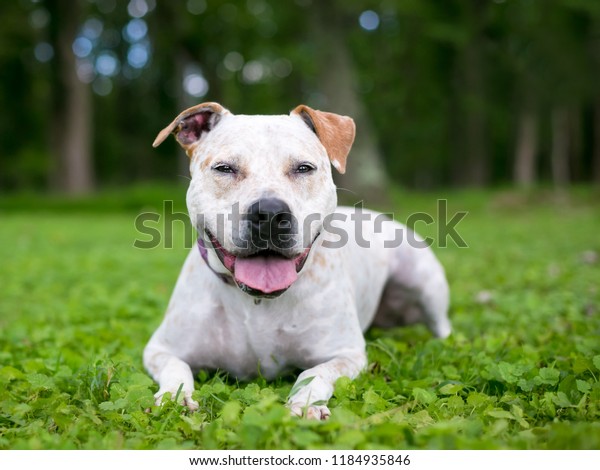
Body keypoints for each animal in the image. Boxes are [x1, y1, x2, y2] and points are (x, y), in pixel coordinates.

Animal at [142, 103, 450, 418]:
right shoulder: (160, 349)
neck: (257, 301)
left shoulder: (346, 354)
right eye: (224, 168)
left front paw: (305, 403)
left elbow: (314, 373)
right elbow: (176, 368)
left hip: (424, 281)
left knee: (443, 326)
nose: (269, 214)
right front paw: (173, 397)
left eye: (303, 168)